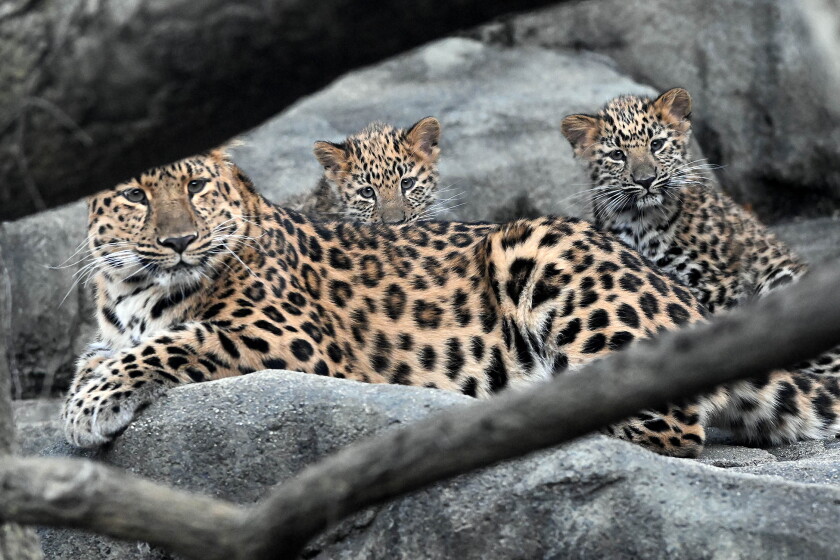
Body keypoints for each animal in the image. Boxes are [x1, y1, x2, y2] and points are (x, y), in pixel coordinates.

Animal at [61, 148, 840, 456]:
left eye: (195, 188)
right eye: (135, 196)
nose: (180, 241)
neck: (134, 289)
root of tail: (688, 302)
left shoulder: (290, 339)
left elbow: (178, 341)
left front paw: (87, 409)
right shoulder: (111, 327)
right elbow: (101, 355)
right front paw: (88, 390)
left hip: (535, 246)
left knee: (666, 425)